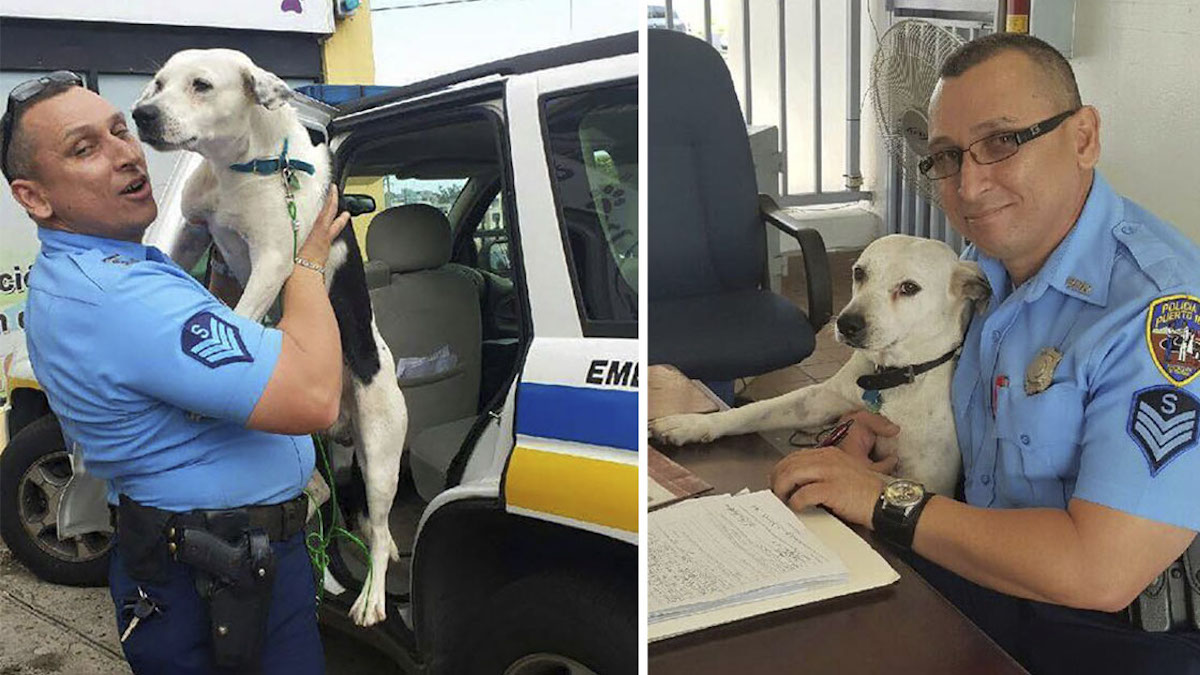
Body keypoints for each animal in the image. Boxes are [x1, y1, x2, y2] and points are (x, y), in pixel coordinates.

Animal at [652, 233, 988, 494]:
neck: (892, 377)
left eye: (909, 288)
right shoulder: (817, 399)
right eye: (859, 273)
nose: (847, 324)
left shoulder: (927, 480)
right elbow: (752, 411)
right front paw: (692, 423)